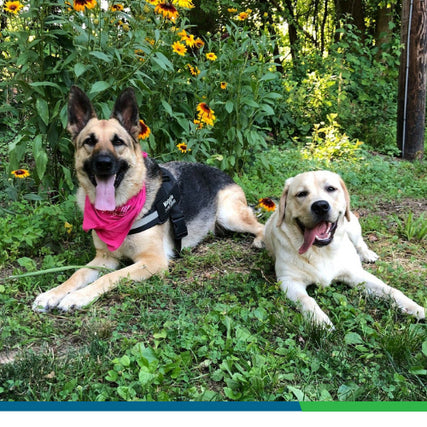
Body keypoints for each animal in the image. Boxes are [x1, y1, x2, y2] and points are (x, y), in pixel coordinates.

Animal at [32, 88, 264, 314]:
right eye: (89, 141)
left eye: (118, 142)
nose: (103, 163)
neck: (121, 210)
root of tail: (224, 174)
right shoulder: (105, 259)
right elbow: (77, 274)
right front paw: (52, 294)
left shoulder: (153, 261)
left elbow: (110, 277)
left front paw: (78, 297)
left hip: (229, 215)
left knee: (260, 225)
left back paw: (261, 240)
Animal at [266, 172, 426, 330]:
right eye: (301, 194)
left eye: (331, 188)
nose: (320, 206)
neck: (321, 251)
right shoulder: (288, 281)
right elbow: (307, 299)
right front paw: (320, 321)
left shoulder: (355, 274)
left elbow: (390, 289)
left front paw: (415, 307)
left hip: (353, 227)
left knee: (360, 242)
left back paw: (367, 254)